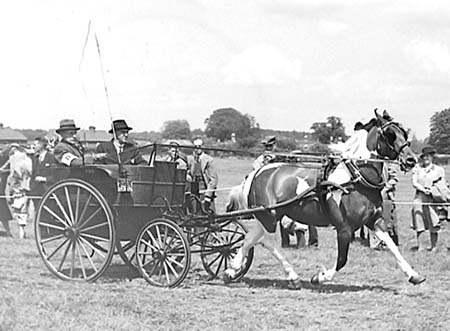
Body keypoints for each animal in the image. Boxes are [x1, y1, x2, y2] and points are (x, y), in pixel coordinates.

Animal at [225, 110, 426, 290]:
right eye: (390, 134)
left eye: (404, 133)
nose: (411, 159)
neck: (355, 179)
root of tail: (258, 172)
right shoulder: (344, 228)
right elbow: (342, 259)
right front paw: (320, 277)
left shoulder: (374, 221)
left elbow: (393, 246)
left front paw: (414, 275)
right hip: (269, 216)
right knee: (268, 242)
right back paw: (291, 276)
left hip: (269, 215)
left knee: (250, 238)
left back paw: (232, 270)